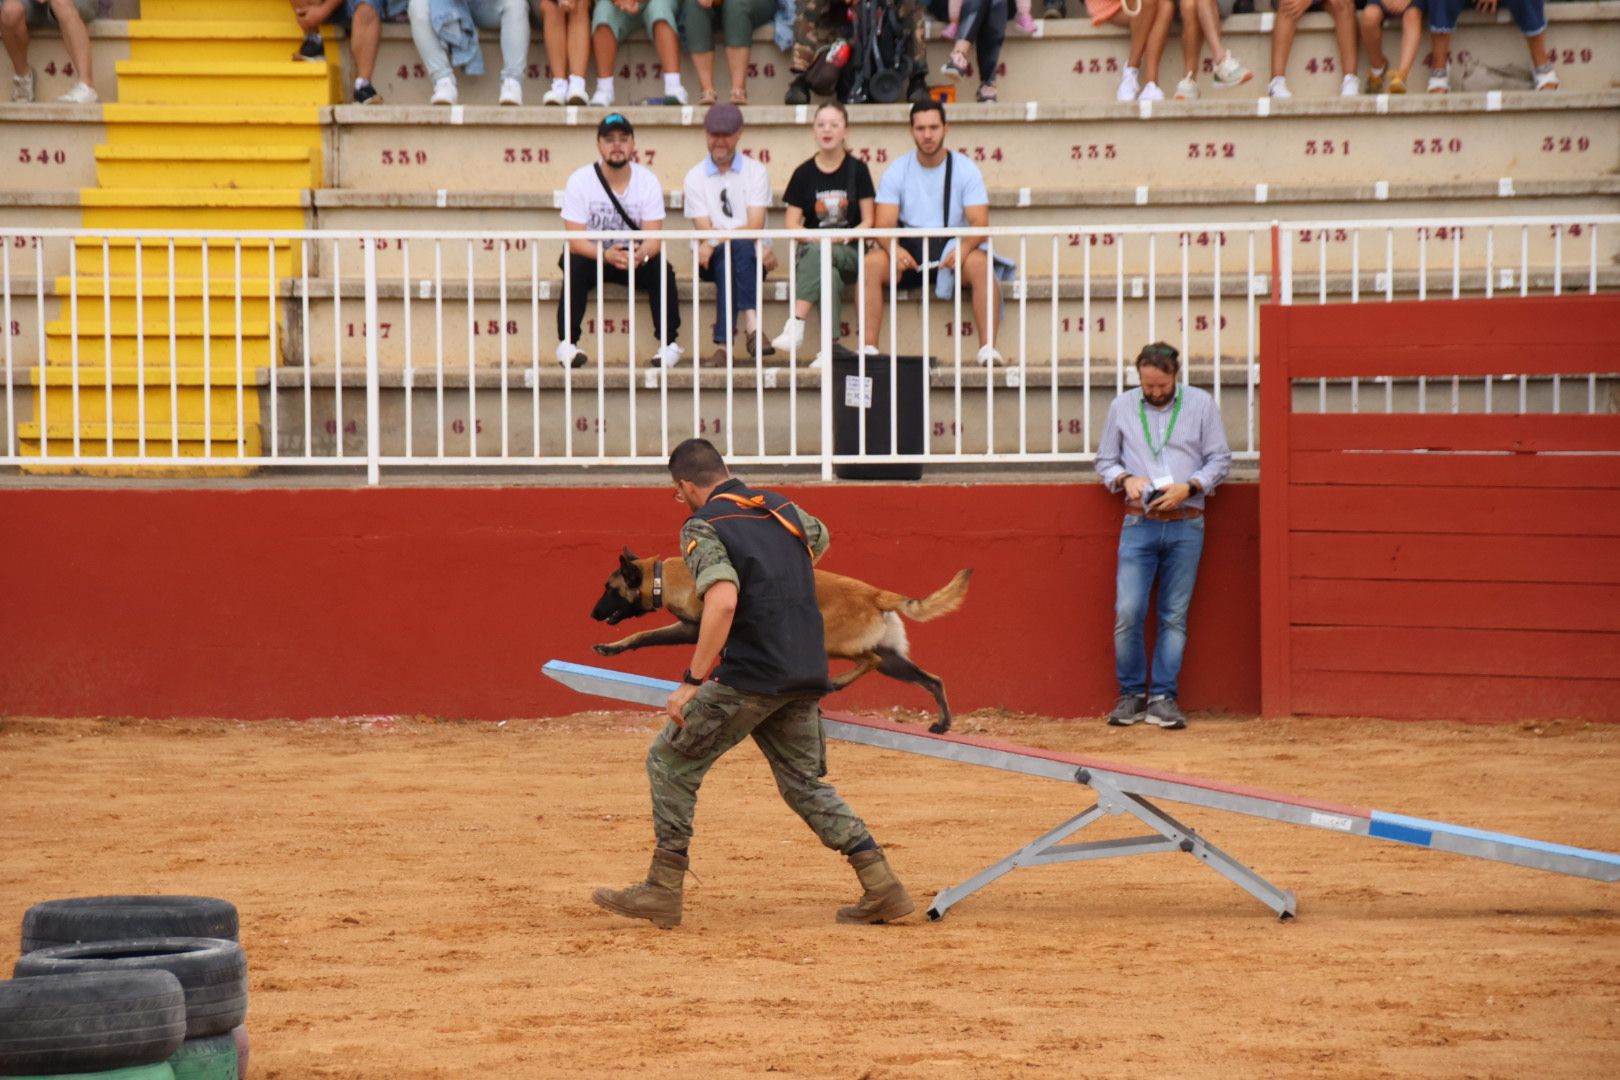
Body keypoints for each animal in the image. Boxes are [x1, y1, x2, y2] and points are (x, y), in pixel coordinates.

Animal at [596, 550, 972, 735]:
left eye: (609, 588)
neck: (665, 577)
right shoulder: (689, 628)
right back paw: (943, 724)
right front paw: (613, 648)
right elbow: (644, 635)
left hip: (833, 642)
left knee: (869, 661)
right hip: (895, 662)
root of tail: (876, 593)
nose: (592, 613)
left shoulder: (706, 628)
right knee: (932, 680)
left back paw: (835, 682)